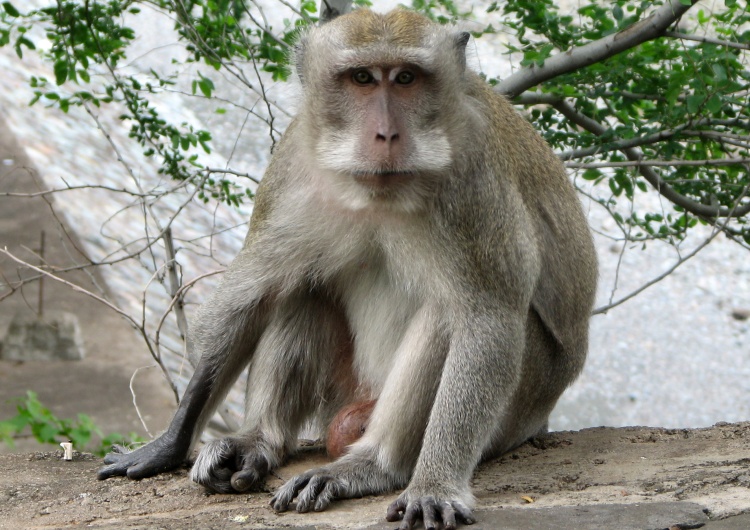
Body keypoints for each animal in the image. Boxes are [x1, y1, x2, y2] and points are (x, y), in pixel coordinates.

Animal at [98, 8, 600, 528]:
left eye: (406, 78)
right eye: (362, 78)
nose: (387, 135)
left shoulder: (473, 182)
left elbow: (488, 322)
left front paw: (435, 485)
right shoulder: (291, 162)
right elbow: (250, 299)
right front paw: (169, 443)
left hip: (516, 409)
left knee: (447, 315)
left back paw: (373, 465)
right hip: (344, 392)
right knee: (300, 286)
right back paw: (260, 440)